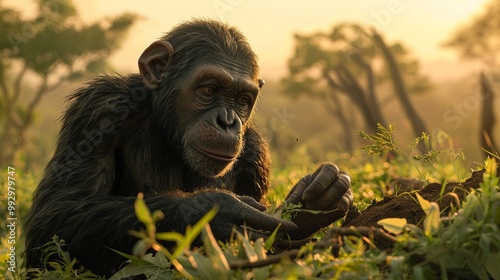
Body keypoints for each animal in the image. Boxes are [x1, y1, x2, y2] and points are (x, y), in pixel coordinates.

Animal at [23, 18, 352, 276]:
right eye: (209, 89)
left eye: (242, 100)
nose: (227, 120)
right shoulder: (99, 107)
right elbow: (56, 217)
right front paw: (216, 212)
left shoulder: (256, 152)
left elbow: (273, 249)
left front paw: (315, 202)